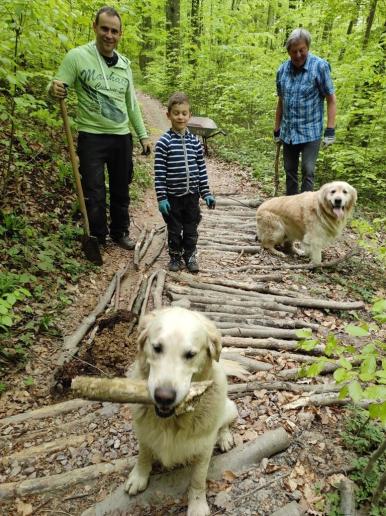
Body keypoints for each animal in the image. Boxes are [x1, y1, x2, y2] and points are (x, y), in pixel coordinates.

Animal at [123, 306, 240, 516]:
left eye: (190, 354)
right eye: (157, 348)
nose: (164, 397)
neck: (172, 420)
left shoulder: (204, 449)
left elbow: (198, 479)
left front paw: (197, 505)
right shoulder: (143, 432)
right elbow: (143, 454)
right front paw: (139, 477)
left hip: (228, 408)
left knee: (223, 424)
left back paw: (225, 438)